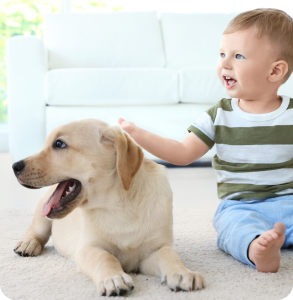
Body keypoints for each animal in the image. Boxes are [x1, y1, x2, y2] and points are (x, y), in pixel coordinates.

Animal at [12, 119, 203, 296]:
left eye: (59, 144)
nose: (15, 166)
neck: (117, 205)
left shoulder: (155, 250)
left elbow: (169, 254)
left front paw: (182, 273)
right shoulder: (88, 248)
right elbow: (105, 257)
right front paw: (113, 278)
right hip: (42, 213)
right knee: (36, 231)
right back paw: (28, 243)